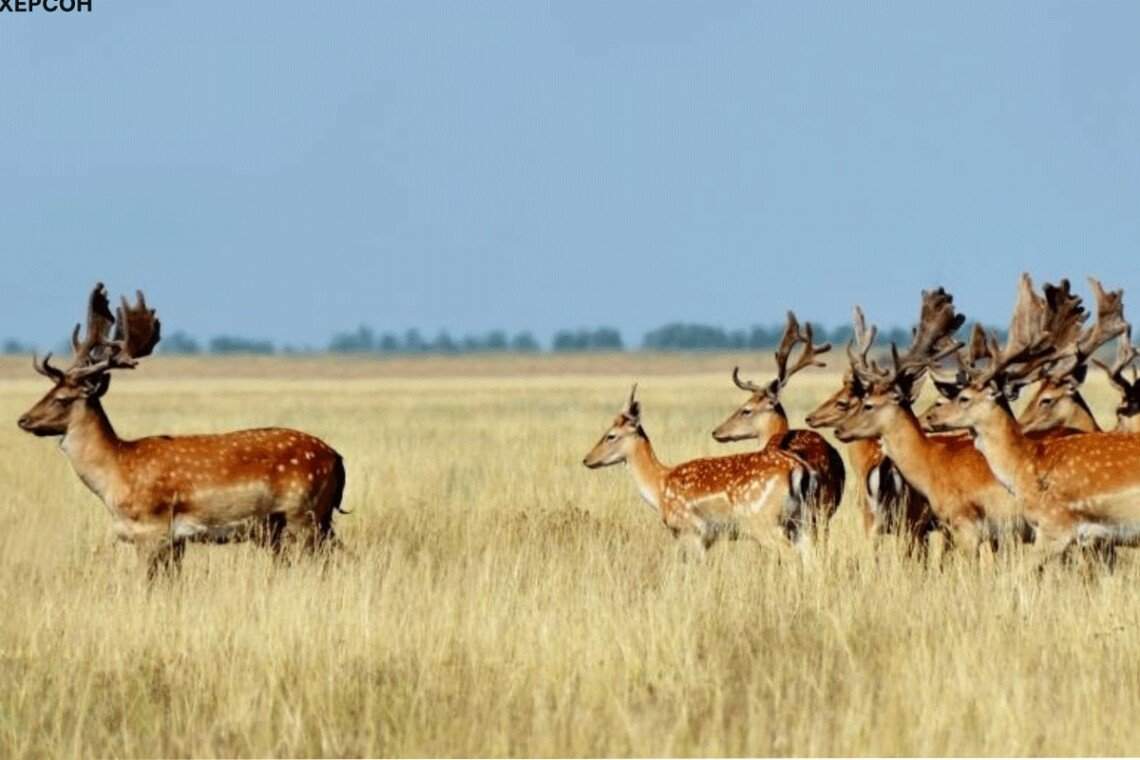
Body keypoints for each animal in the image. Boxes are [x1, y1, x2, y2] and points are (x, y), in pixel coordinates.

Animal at [16, 283, 346, 576]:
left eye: (62, 398)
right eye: (47, 391)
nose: (24, 420)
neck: (115, 472)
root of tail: (337, 458)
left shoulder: (153, 530)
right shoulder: (174, 541)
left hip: (304, 514)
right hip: (291, 525)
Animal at [583, 387, 816, 558]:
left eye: (611, 435)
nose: (586, 459)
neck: (659, 486)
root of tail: (799, 470)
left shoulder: (690, 531)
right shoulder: (707, 539)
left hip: (763, 522)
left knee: (791, 555)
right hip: (801, 521)